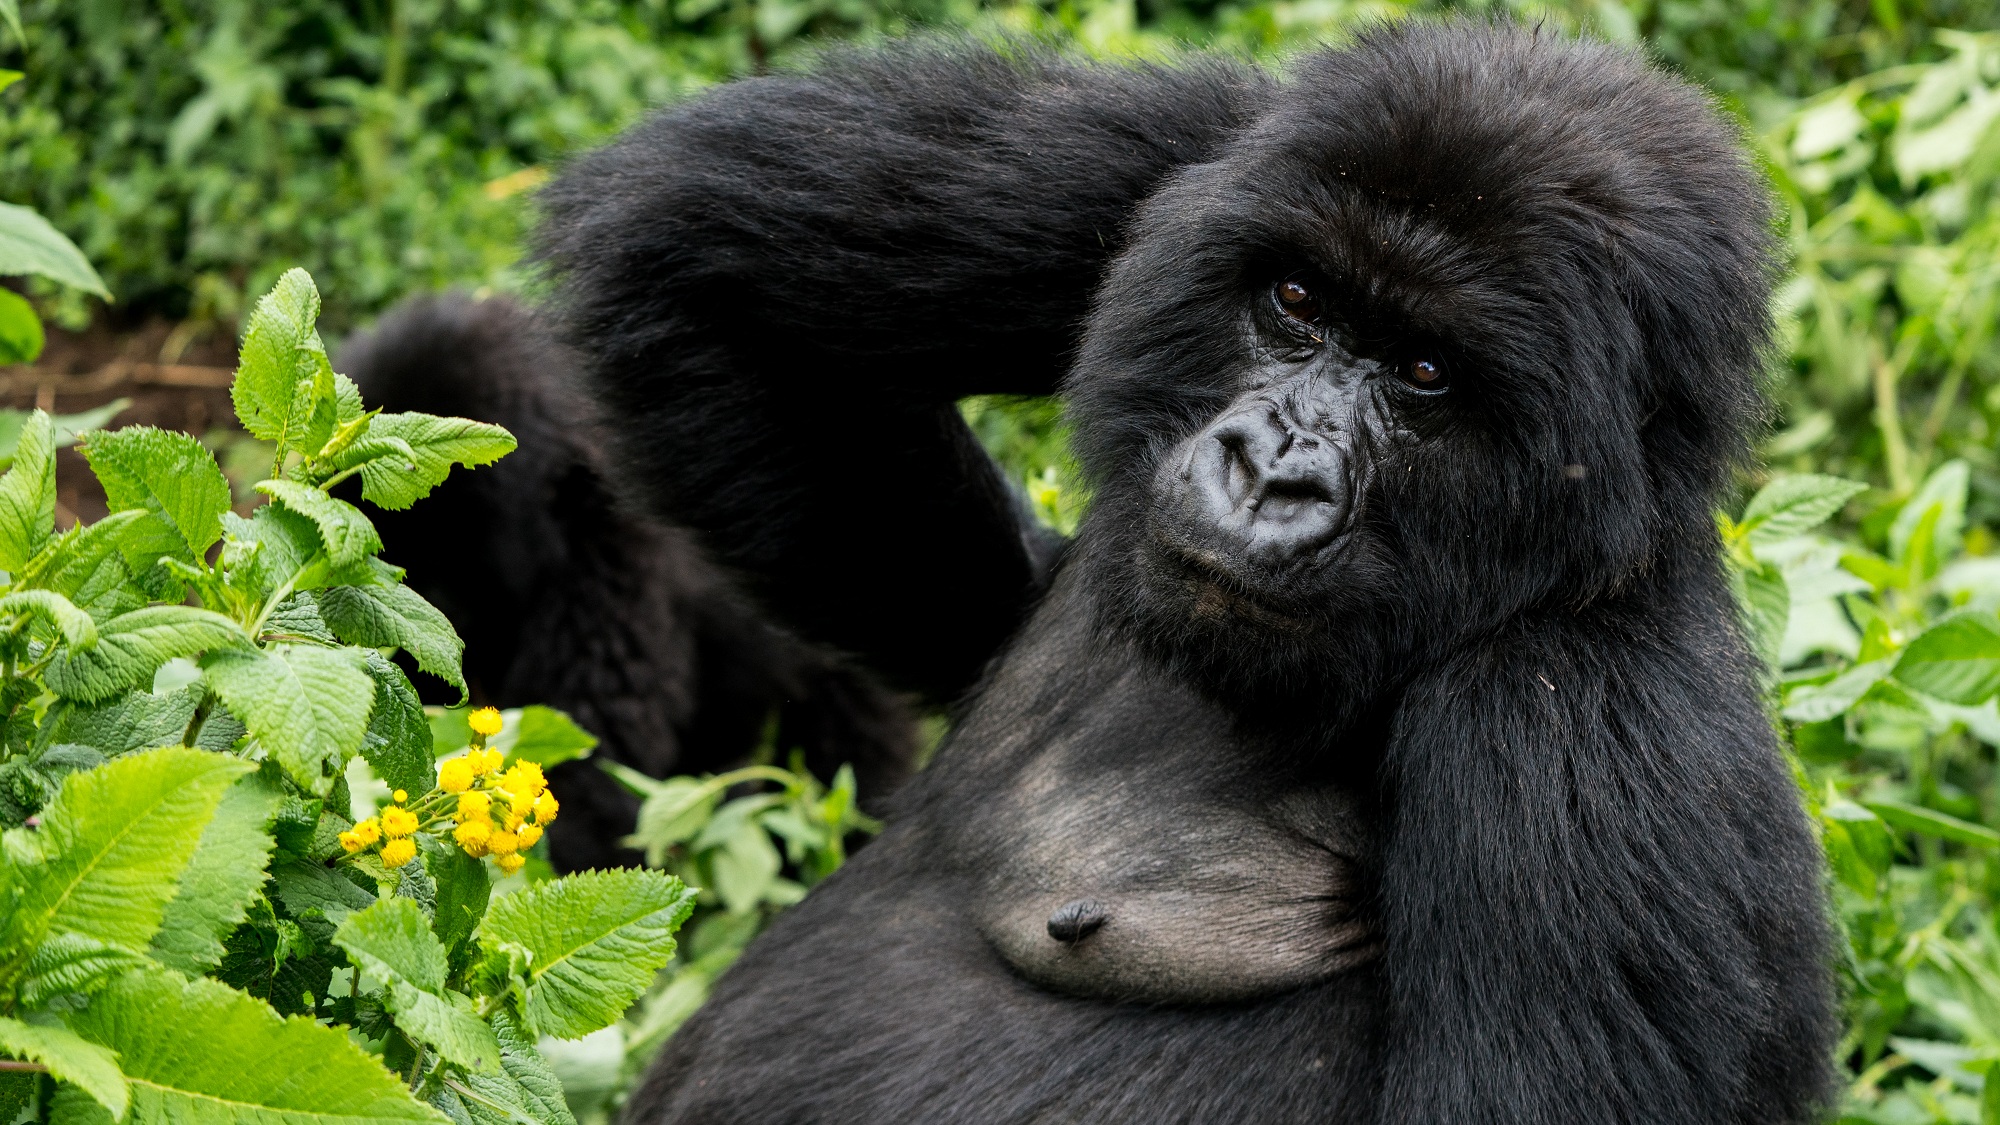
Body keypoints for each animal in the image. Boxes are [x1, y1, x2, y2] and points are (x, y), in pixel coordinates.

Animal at [382, 17, 1832, 1120]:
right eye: (1295, 301)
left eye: (1427, 375)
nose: (1269, 469)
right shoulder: (1202, 153)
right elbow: (694, 244)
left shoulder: (1586, 742)